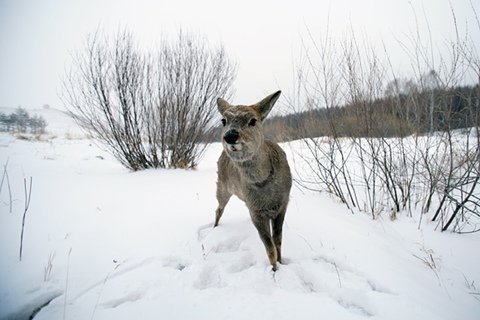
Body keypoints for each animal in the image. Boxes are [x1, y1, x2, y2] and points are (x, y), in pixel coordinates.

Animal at [215, 90, 292, 272]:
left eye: (253, 120)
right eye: (223, 120)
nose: (231, 136)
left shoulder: (283, 203)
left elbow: (277, 240)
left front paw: (281, 262)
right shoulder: (255, 211)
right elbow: (269, 247)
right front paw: (274, 270)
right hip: (222, 187)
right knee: (218, 209)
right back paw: (214, 228)